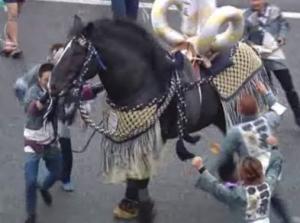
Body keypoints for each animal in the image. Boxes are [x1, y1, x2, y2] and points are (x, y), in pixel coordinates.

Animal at [49, 16, 227, 221]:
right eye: (64, 49)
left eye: (78, 53)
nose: (52, 85)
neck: (142, 85)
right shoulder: (130, 138)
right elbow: (133, 175)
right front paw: (129, 205)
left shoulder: (145, 139)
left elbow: (140, 177)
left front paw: (144, 210)